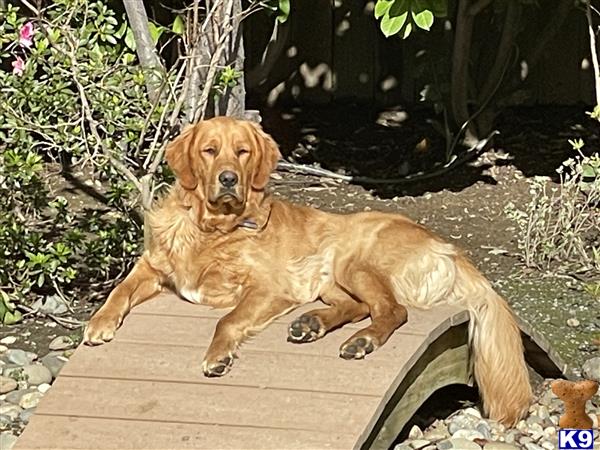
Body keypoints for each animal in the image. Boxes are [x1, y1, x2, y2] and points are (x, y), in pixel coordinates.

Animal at [82, 116, 532, 426]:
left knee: (391, 311)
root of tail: (450, 248)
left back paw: (361, 341)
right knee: (358, 307)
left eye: (242, 152)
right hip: (330, 278)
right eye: (209, 150)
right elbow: (119, 290)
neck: (211, 228)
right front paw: (99, 323)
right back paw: (311, 324)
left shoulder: (268, 287)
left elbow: (227, 320)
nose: (228, 179)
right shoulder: (153, 266)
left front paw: (217, 356)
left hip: (353, 260)